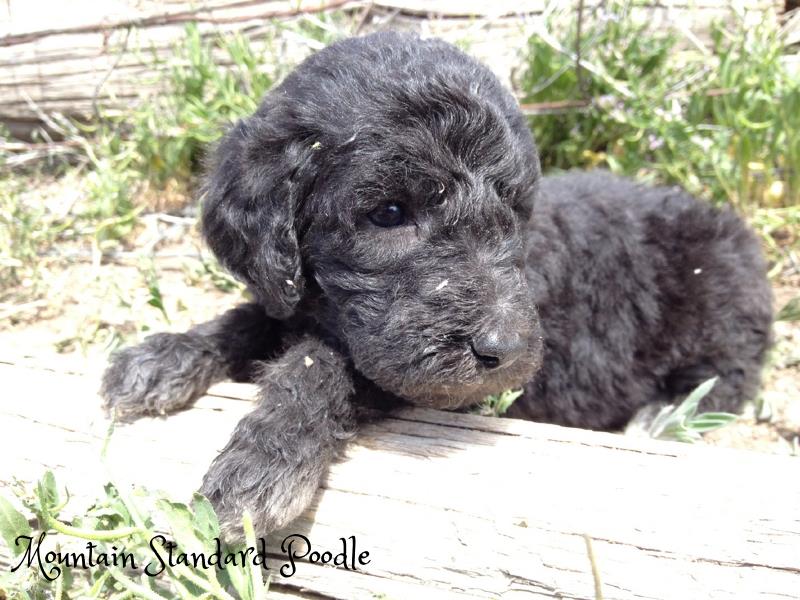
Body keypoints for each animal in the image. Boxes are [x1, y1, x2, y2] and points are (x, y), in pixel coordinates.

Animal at [98, 31, 768, 536]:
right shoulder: (296, 299)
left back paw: (661, 416)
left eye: (513, 208)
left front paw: (266, 457)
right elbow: (253, 319)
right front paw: (165, 354)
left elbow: (323, 363)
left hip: (720, 304)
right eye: (390, 212)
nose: (505, 351)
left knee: (726, 376)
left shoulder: (430, 383)